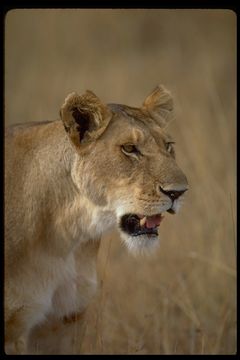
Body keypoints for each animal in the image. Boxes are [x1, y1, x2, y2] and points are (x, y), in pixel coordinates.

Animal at [3, 86, 188, 352]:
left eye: (169, 146)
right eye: (129, 148)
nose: (179, 192)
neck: (65, 237)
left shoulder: (65, 318)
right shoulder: (14, 323)